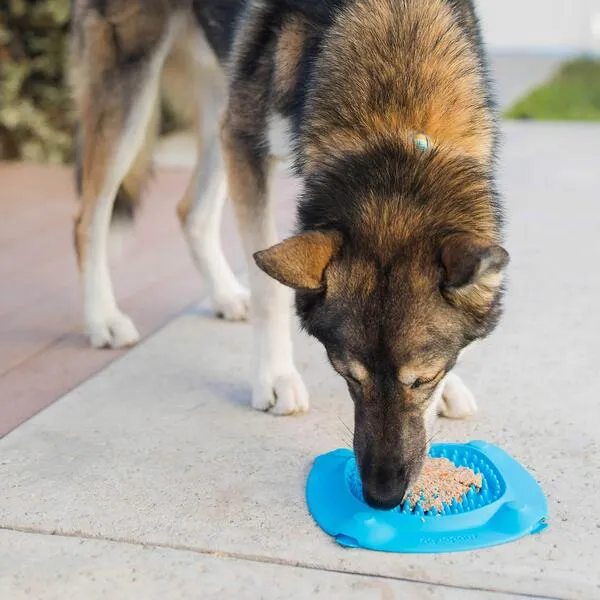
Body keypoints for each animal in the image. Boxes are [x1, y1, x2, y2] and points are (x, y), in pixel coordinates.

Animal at [71, 0, 510, 508]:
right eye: (348, 376)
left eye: (423, 378)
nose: (381, 497)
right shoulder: (247, 143)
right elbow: (270, 292)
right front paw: (275, 377)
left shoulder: (238, 133)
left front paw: (449, 390)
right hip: (135, 85)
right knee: (88, 220)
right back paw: (103, 318)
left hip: (220, 101)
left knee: (189, 212)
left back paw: (224, 296)